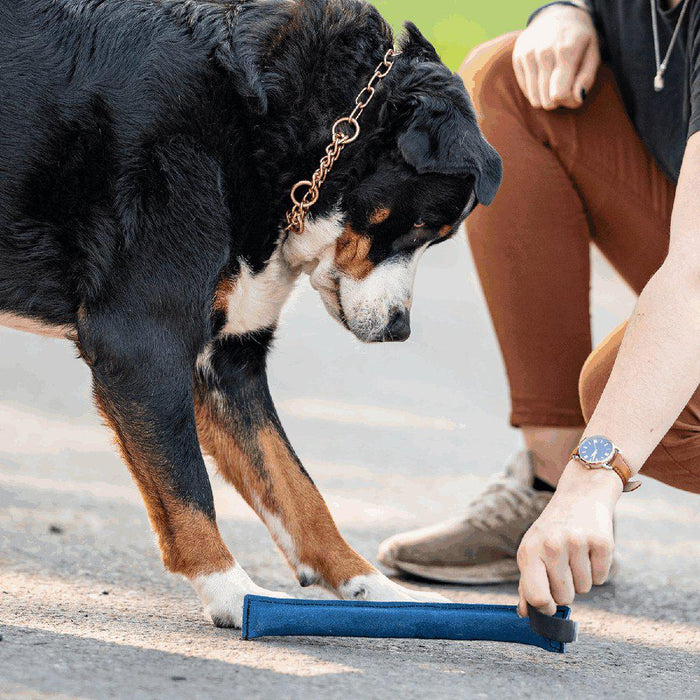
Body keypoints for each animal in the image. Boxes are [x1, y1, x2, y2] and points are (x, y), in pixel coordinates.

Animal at [1, 0, 504, 628]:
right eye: (420, 227)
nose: (399, 329)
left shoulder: (225, 362)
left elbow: (298, 490)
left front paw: (378, 589)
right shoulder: (141, 341)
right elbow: (188, 490)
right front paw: (233, 593)